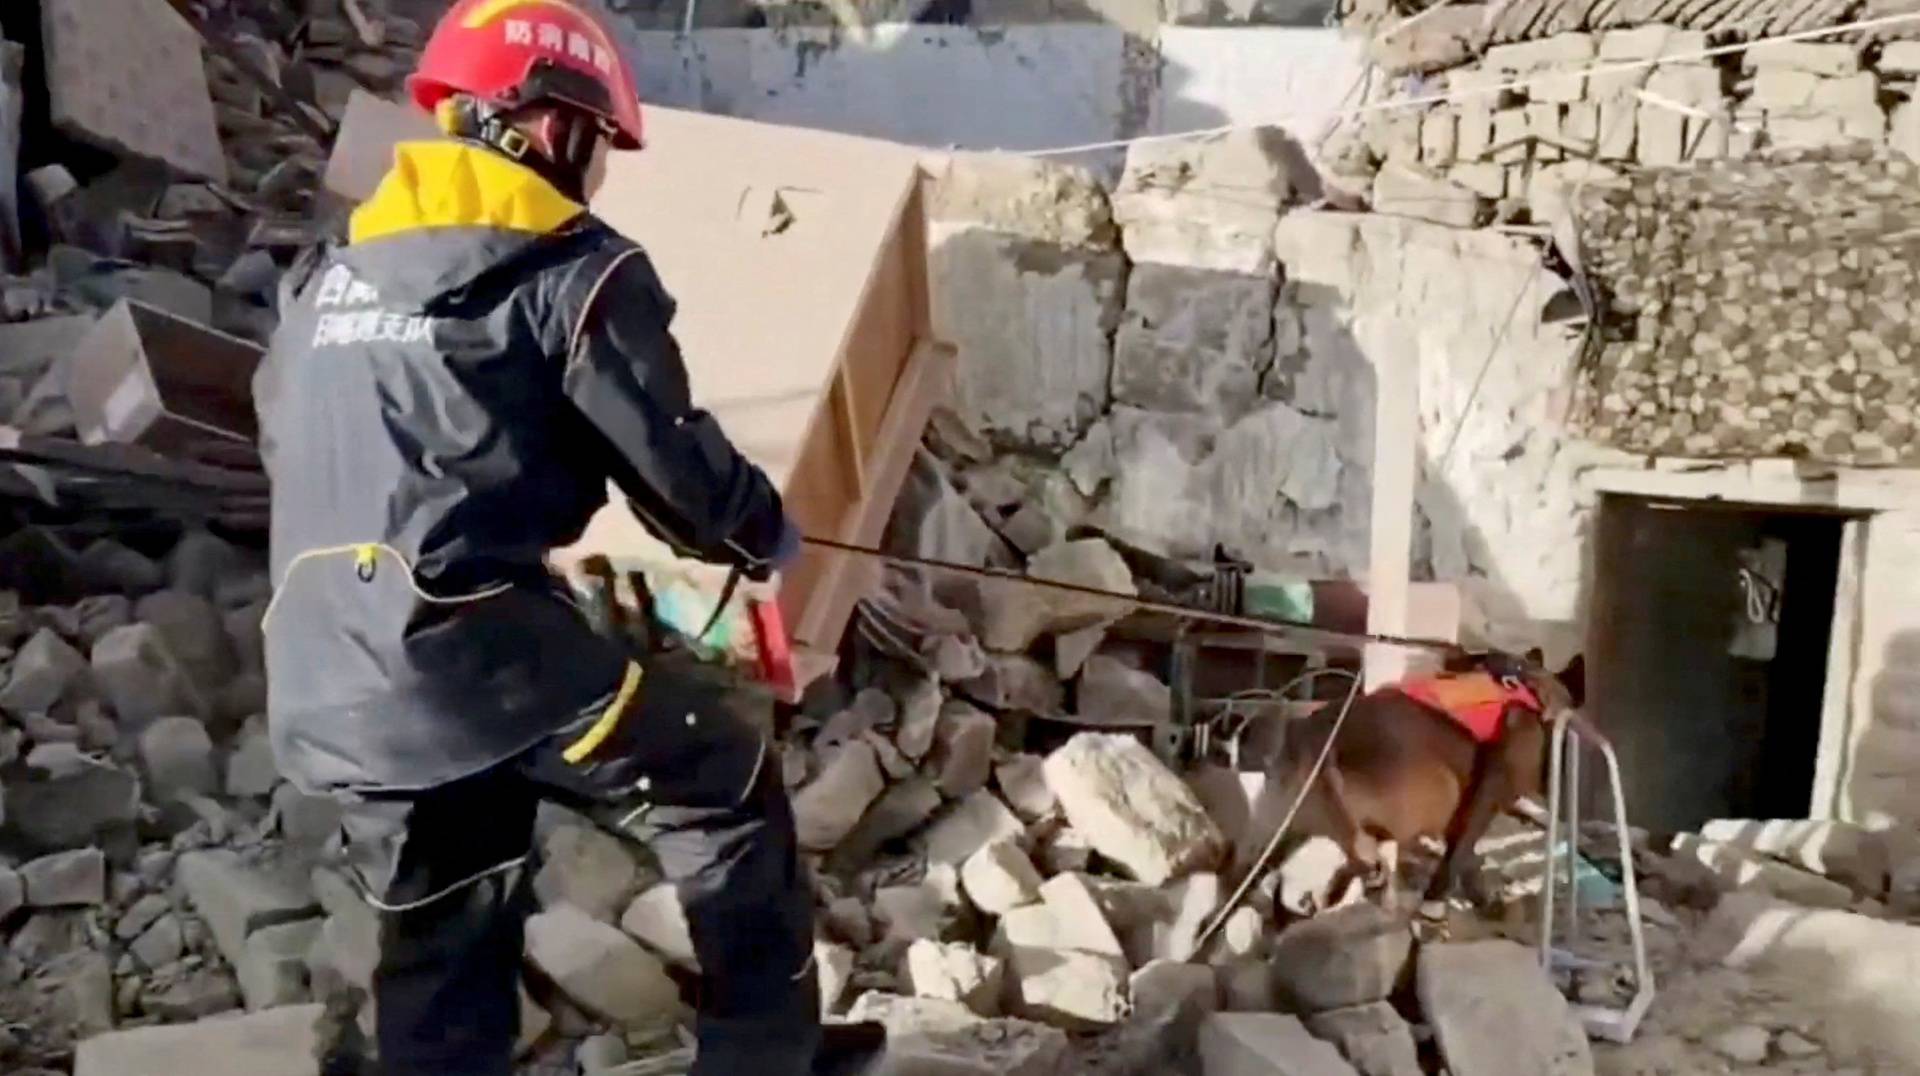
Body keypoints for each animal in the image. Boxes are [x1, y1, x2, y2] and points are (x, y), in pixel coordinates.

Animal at [1236, 645, 1582, 914]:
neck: (1533, 687)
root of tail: (1315, 737)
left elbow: (1466, 855)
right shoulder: (1490, 788)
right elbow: (1462, 852)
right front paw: (1443, 900)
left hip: (1279, 833)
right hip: (1438, 789)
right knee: (1366, 860)